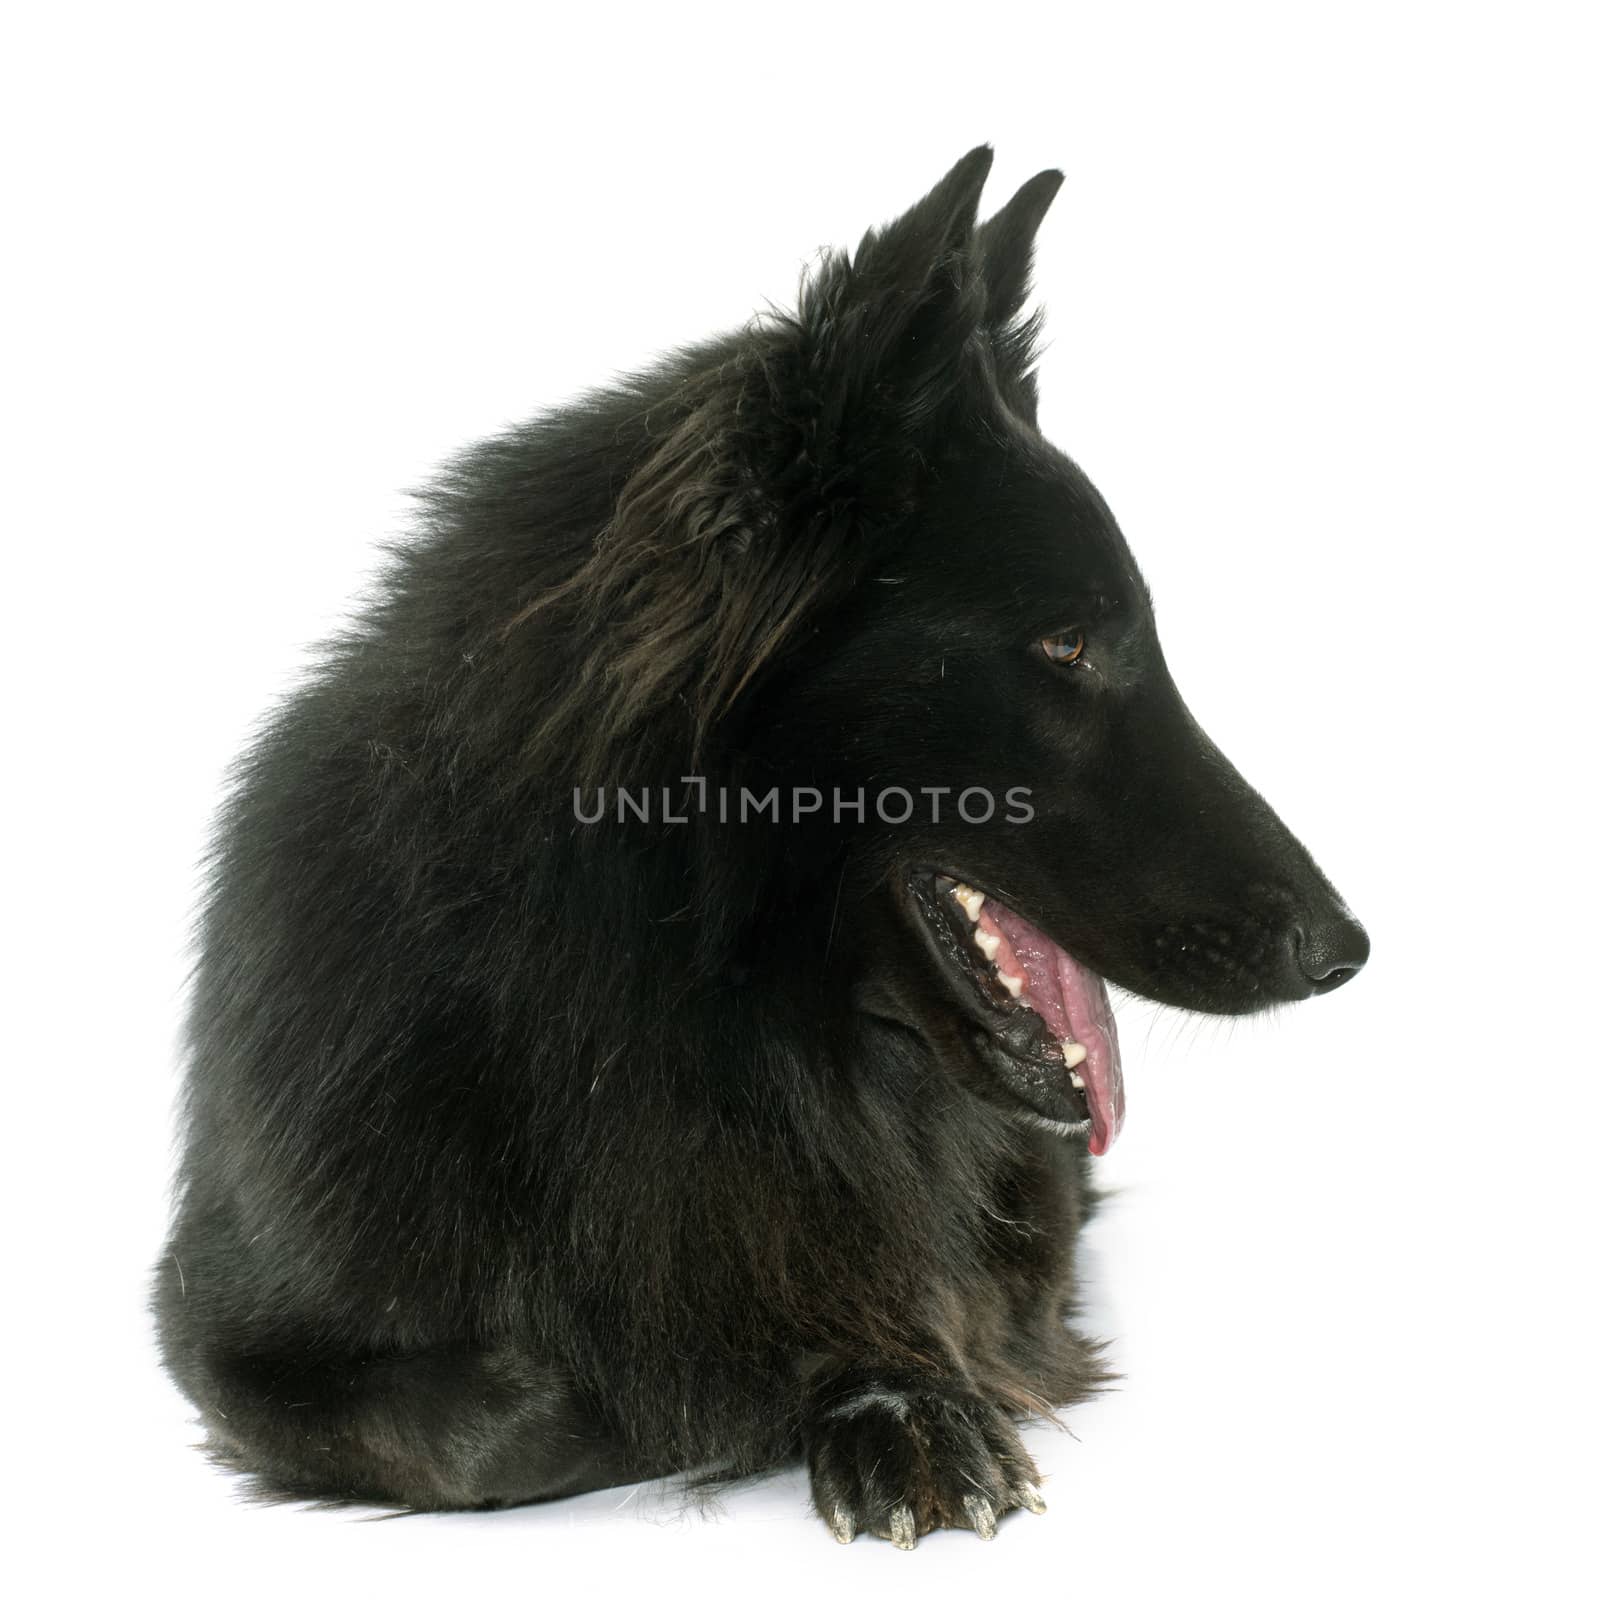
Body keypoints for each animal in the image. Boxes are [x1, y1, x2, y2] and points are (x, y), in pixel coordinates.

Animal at [156, 152, 1369, 1548]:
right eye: (1067, 644)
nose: (1345, 951)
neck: (673, 1004)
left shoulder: (1020, 1222)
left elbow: (914, 1282)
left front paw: (896, 1394)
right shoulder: (224, 1321)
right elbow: (509, 1421)